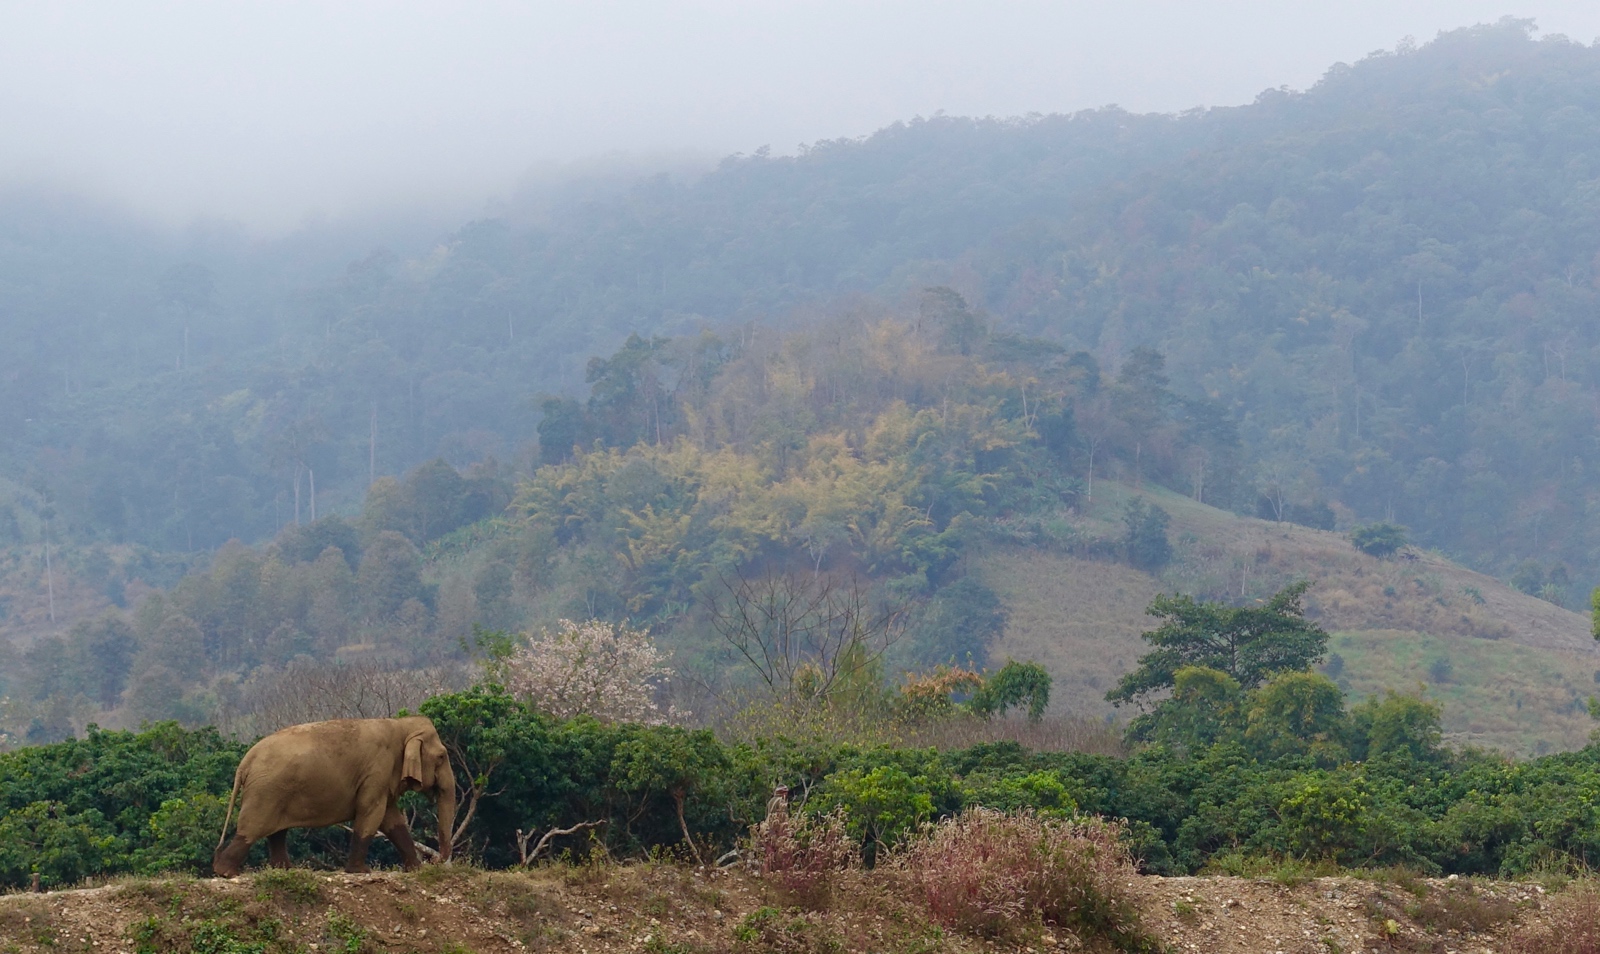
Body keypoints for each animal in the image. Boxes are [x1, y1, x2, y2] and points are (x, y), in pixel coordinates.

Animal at [212, 715, 455, 877]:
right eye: (441, 757)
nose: (435, 860)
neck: (399, 724)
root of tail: (244, 763)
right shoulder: (377, 769)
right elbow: (371, 813)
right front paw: (361, 871)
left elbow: (391, 819)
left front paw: (415, 869)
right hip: (266, 791)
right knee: (252, 829)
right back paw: (225, 873)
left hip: (275, 791)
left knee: (276, 833)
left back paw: (285, 870)